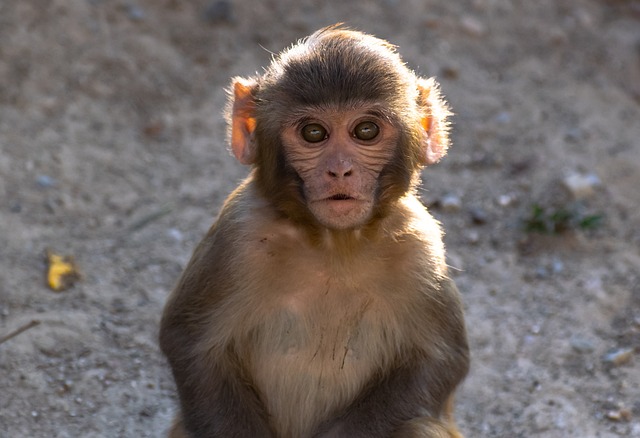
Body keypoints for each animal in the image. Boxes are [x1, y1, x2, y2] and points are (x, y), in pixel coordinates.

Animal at [159, 24, 470, 438]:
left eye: (366, 130)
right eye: (313, 133)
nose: (340, 170)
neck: (334, 243)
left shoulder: (420, 247)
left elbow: (440, 359)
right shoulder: (237, 237)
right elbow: (192, 345)